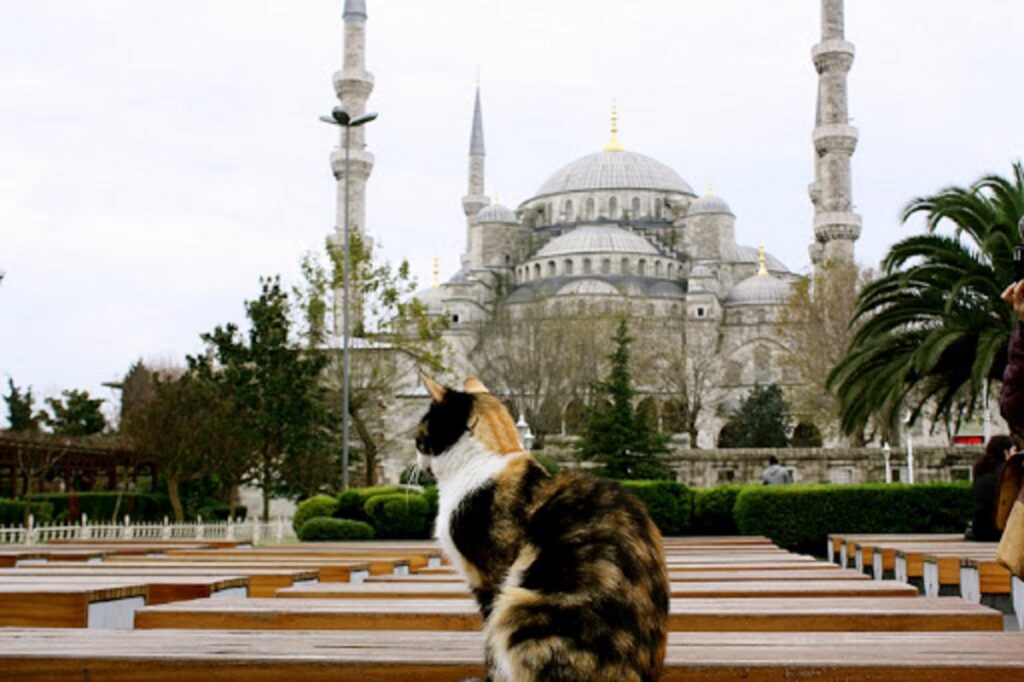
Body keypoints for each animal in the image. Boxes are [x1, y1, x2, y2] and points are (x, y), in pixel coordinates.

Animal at [415, 372, 671, 679]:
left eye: (420, 435)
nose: (415, 455)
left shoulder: (490, 576)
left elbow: (489, 643)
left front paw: (491, 677)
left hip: (523, 609)